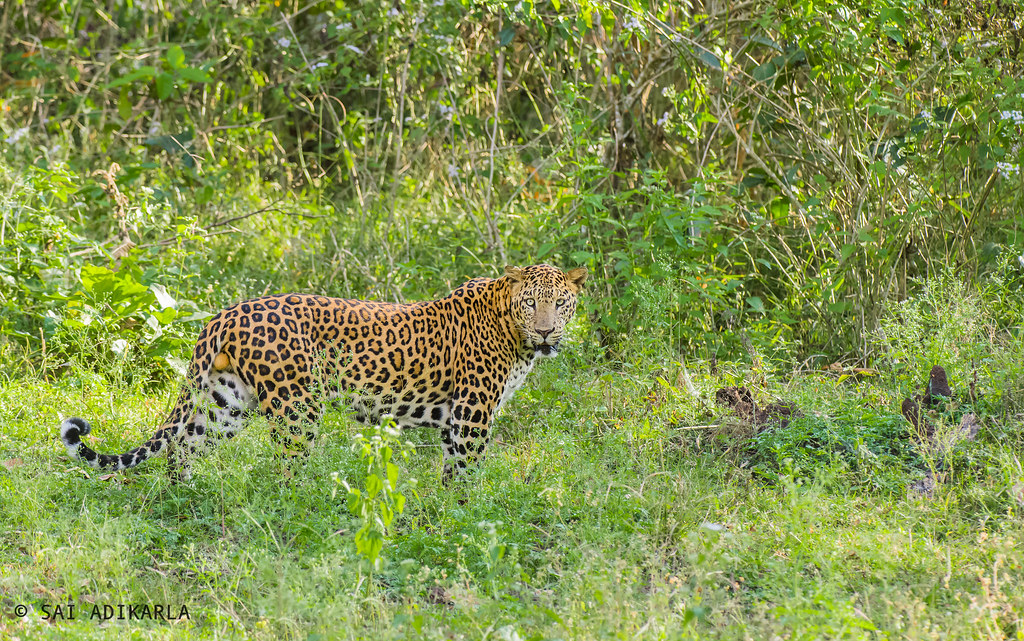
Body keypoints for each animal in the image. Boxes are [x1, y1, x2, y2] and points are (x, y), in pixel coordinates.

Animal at [60, 263, 588, 482]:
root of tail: (226, 313)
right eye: (531, 303)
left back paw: (180, 497)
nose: (546, 332)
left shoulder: (459, 418)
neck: (512, 330)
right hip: (297, 406)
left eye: (560, 304)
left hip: (227, 402)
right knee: (284, 470)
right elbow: (465, 473)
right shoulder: (473, 414)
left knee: (183, 446)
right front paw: (464, 518)